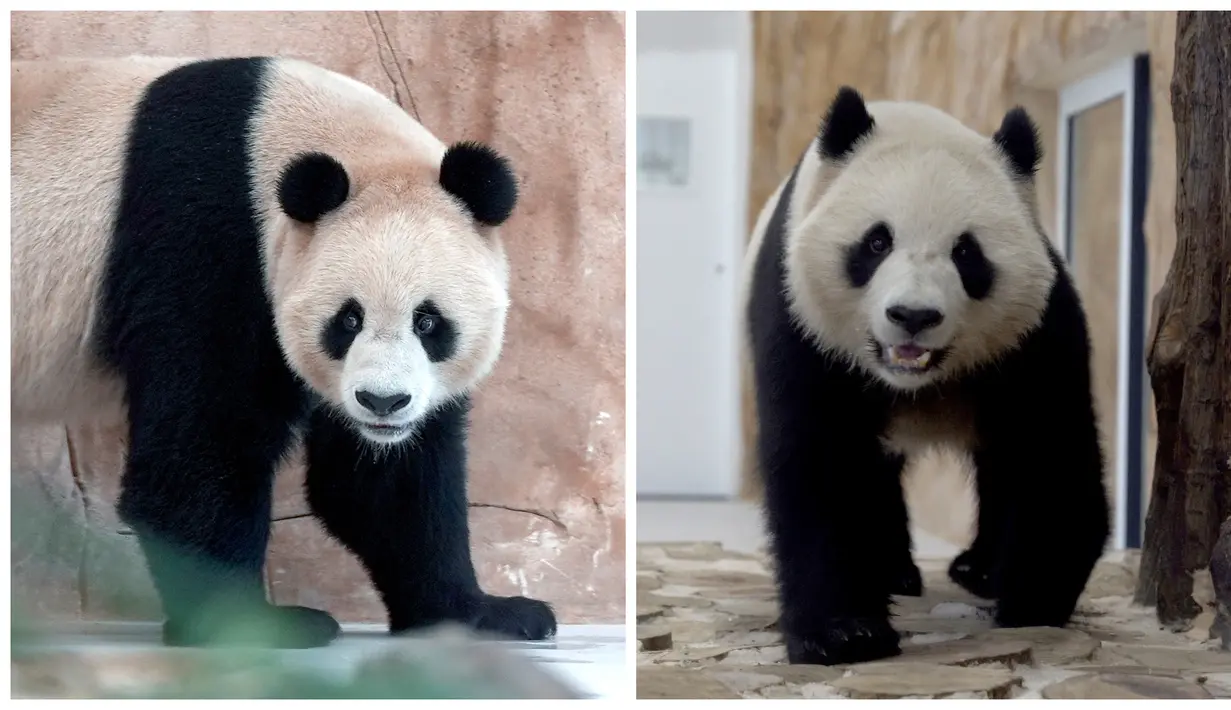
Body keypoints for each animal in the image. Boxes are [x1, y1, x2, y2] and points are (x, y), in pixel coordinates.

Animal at [11, 56, 557, 648]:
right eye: (348, 319)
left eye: (429, 321)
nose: (383, 404)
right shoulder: (201, 244)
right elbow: (203, 449)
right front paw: (258, 624)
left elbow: (381, 485)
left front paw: (484, 613)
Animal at [742, 86, 1110, 665]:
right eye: (876, 243)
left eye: (967, 252)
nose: (913, 316)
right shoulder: (803, 322)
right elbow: (821, 461)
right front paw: (844, 633)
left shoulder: (1034, 334)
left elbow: (1051, 453)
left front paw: (1031, 600)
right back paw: (895, 572)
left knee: (997, 463)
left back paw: (977, 569)